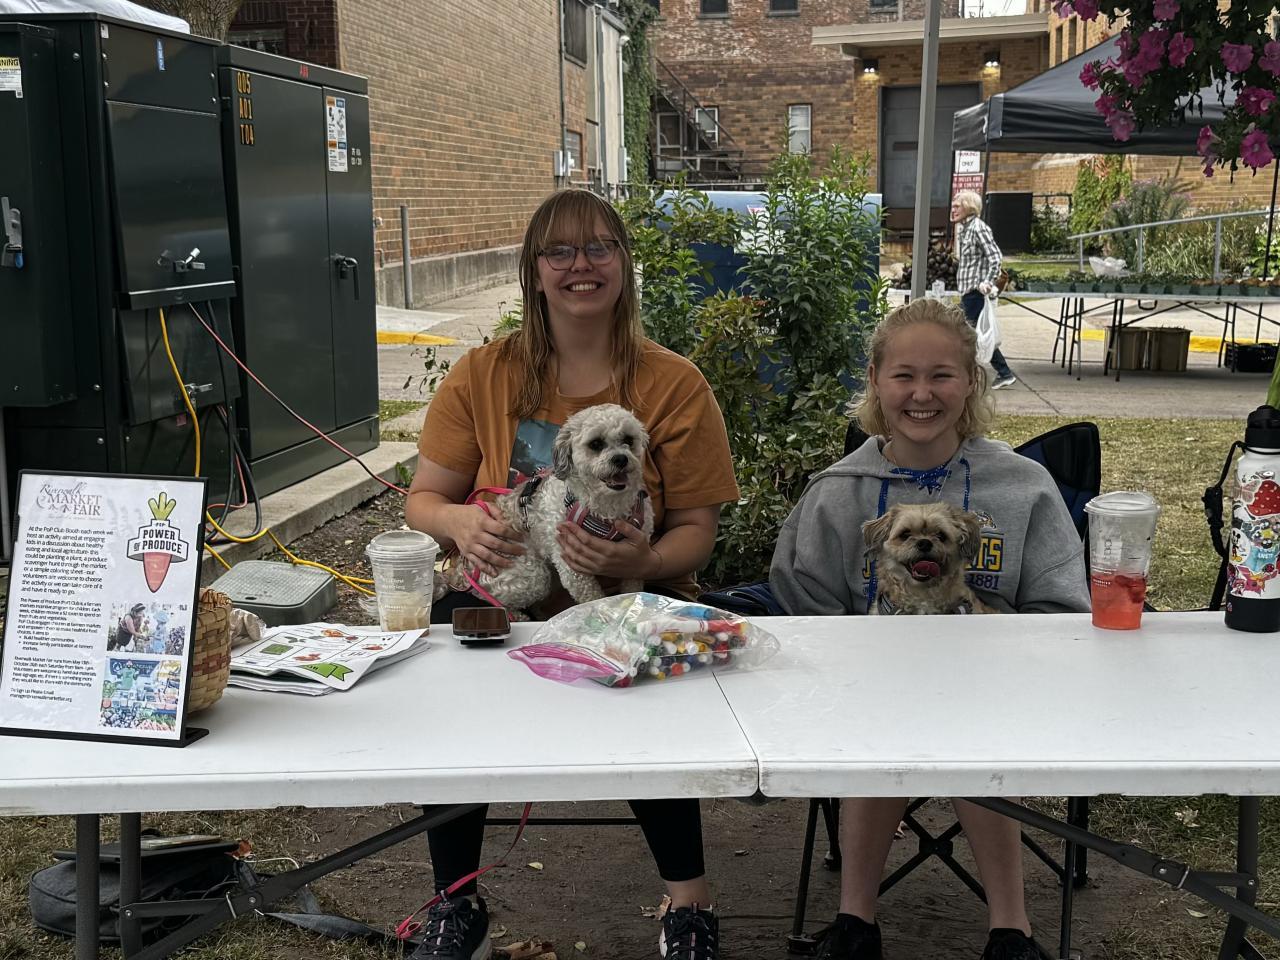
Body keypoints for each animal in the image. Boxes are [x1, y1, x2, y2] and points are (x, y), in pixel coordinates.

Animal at [452, 403, 655, 612]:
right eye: (596, 444)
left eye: (628, 440)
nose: (621, 459)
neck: (609, 507)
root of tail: (461, 570)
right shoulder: (572, 567)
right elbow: (592, 598)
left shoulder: (633, 559)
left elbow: (632, 584)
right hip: (529, 574)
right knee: (497, 602)